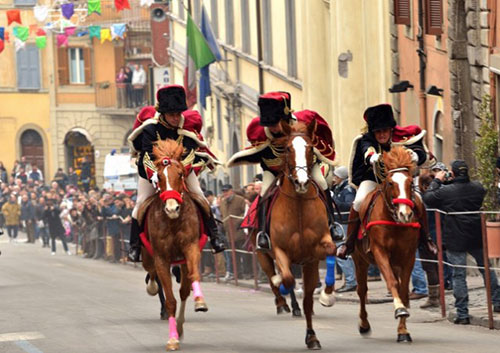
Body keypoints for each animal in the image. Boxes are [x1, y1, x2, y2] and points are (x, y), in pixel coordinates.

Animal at [139, 139, 209, 350]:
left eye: (180, 174)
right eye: (159, 177)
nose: (172, 208)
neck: (172, 222)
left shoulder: (190, 248)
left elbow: (192, 279)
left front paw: (200, 302)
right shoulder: (161, 257)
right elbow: (170, 299)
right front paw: (172, 339)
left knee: (184, 290)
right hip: (147, 257)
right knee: (152, 274)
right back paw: (152, 287)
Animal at [254, 119, 336, 350]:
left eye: (310, 148)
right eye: (288, 148)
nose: (301, 182)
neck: (298, 206)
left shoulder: (316, 252)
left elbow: (332, 250)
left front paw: (327, 295)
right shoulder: (280, 251)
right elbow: (288, 279)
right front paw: (280, 284)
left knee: (307, 298)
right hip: (263, 255)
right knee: (277, 277)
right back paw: (282, 300)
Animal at [350, 145, 424, 340]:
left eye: (410, 183)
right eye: (391, 183)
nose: (405, 214)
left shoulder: (408, 257)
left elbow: (403, 290)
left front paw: (403, 330)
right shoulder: (379, 252)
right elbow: (391, 282)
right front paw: (399, 310)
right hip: (359, 260)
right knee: (362, 291)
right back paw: (364, 325)